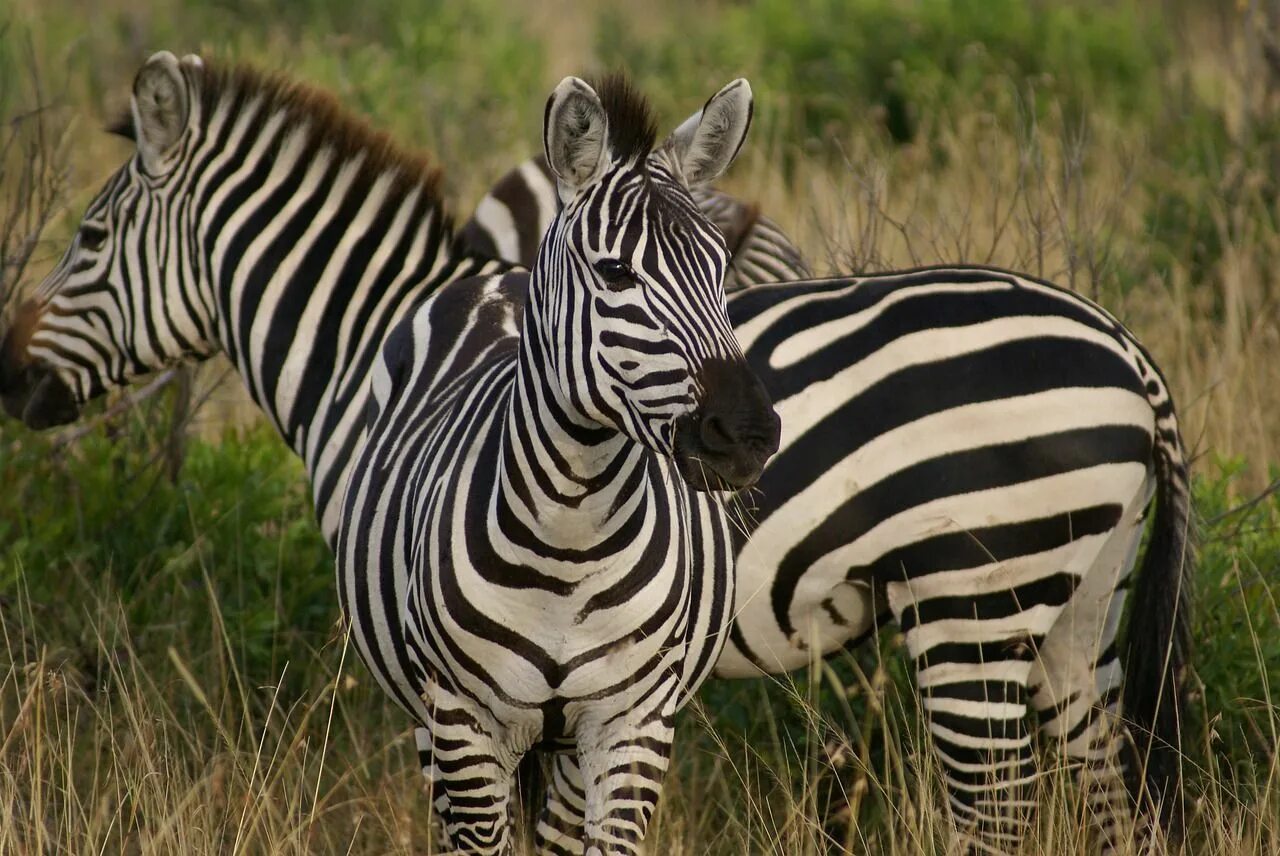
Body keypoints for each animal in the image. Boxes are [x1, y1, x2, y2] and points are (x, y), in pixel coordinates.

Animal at [336, 75, 777, 854]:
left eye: (721, 268)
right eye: (616, 272)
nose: (749, 435)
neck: (573, 540)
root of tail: (499, 277)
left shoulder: (632, 725)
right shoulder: (463, 723)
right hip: (428, 715)